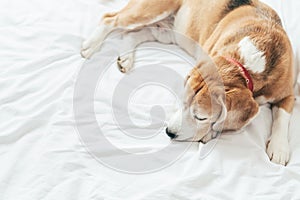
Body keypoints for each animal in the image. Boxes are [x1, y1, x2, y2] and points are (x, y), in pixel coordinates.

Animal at [80, 0, 296, 166]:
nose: (169, 132)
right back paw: (91, 45)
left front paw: (279, 148)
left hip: (165, 33)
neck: (246, 65)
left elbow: (282, 117)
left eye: (200, 117)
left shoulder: (289, 93)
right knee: (110, 19)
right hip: (149, 11)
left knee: (134, 34)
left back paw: (126, 57)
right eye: (181, 102)